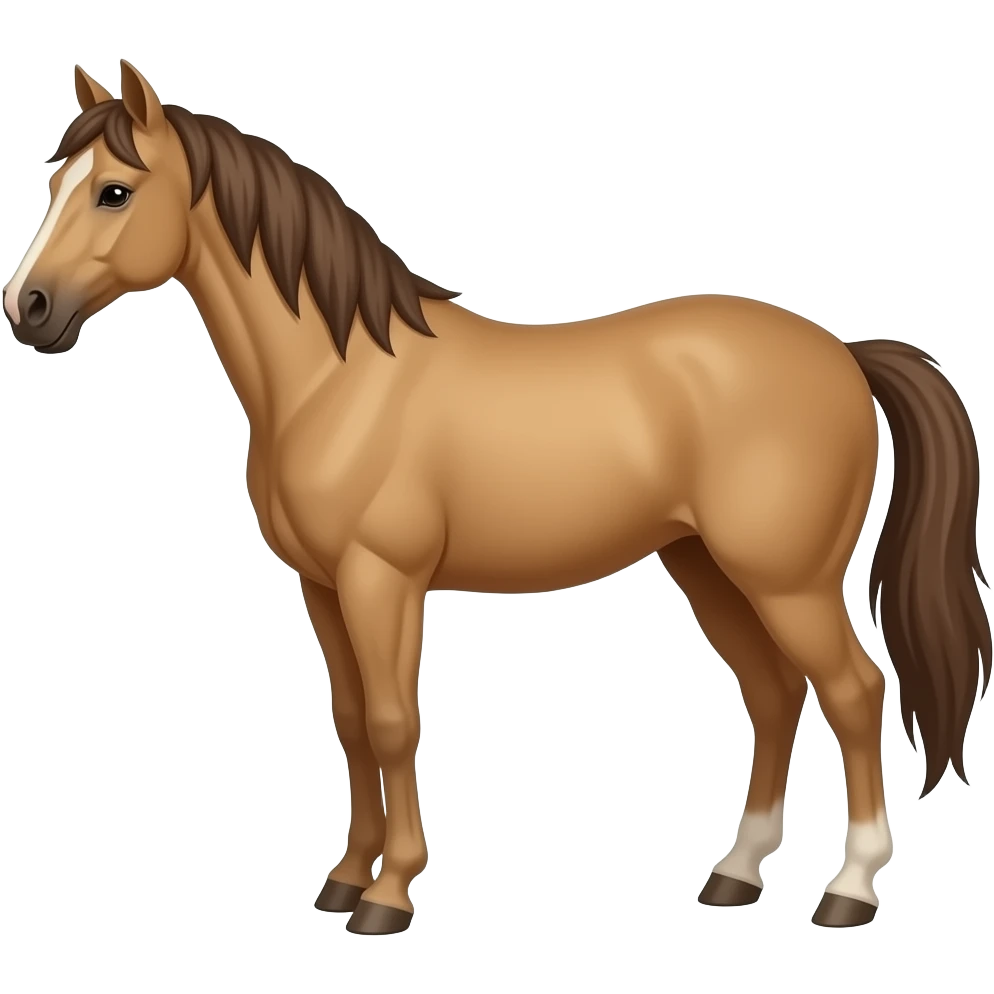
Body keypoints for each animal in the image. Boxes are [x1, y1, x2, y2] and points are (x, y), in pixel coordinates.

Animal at [4, 61, 989, 935]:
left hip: (787, 580)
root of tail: (843, 353)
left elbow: (393, 723)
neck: (336, 379)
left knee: (854, 692)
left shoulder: (382, 580)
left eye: (115, 192)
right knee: (776, 692)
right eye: (57, 183)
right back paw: (736, 876)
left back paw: (849, 892)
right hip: (705, 567)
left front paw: (388, 895)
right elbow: (351, 724)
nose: (29, 308)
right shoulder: (322, 587)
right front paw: (344, 878)